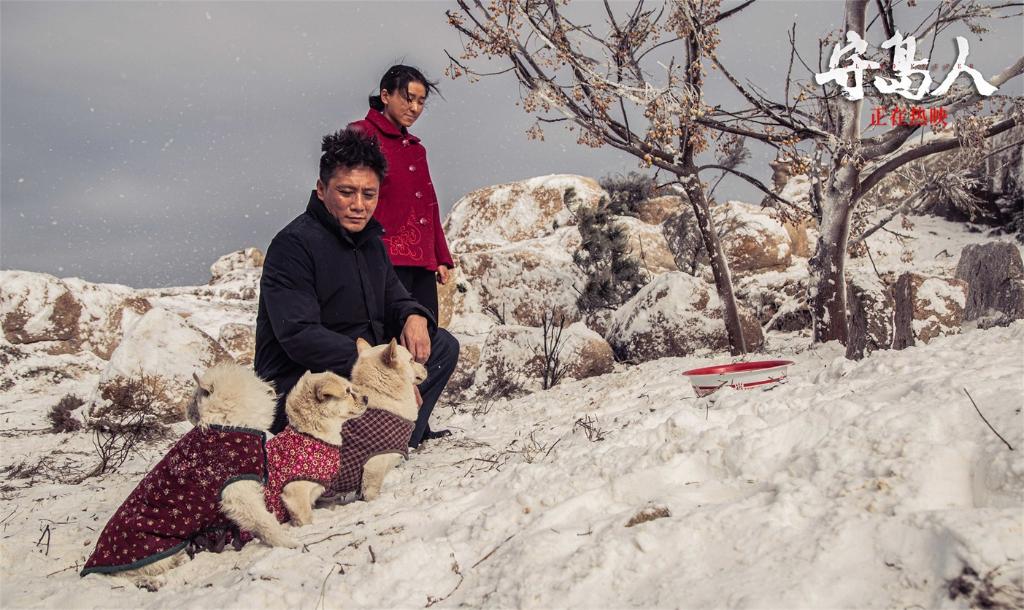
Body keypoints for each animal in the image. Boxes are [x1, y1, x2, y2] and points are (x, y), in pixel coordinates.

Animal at [80, 362, 296, 589]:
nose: (185, 412)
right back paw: (153, 580)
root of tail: (93, 562)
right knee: (131, 573)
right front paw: (288, 542)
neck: (226, 422)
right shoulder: (238, 494)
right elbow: (265, 521)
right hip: (156, 548)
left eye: (194, 396)